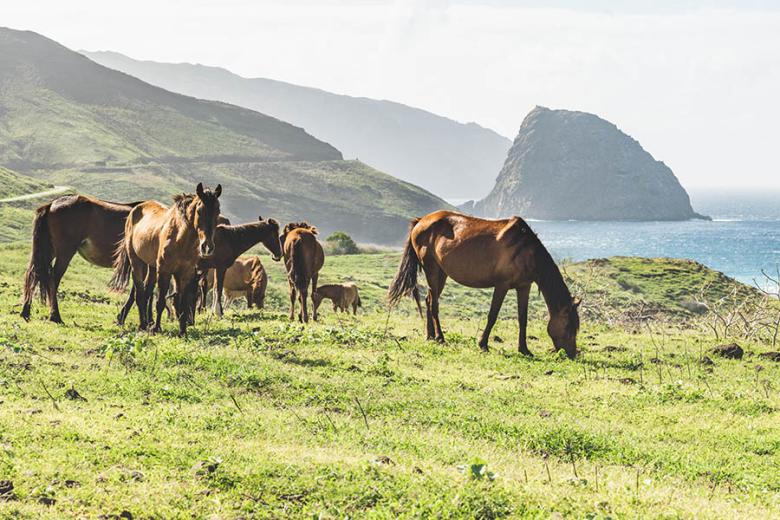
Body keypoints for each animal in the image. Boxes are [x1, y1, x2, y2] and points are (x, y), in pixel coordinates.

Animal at [20, 194, 143, 323]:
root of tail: (51, 205)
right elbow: (138, 293)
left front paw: (121, 318)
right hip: (65, 252)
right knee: (53, 278)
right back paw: (55, 316)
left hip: (49, 251)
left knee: (34, 273)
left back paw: (26, 312)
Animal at [111, 183, 222, 335]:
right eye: (199, 211)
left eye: (218, 211)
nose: (207, 247)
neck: (180, 239)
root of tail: (135, 209)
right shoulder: (164, 271)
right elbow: (161, 302)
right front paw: (156, 328)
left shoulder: (185, 274)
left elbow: (181, 302)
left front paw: (182, 331)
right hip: (137, 262)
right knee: (139, 292)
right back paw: (142, 324)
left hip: (152, 267)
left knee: (147, 292)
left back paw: (145, 322)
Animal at [388, 210, 580, 358]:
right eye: (569, 326)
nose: (572, 354)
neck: (525, 251)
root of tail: (420, 221)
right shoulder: (502, 285)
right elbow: (492, 315)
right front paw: (483, 344)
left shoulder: (523, 286)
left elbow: (522, 319)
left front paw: (524, 349)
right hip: (432, 271)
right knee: (434, 304)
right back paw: (440, 338)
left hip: (441, 274)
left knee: (429, 301)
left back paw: (430, 336)